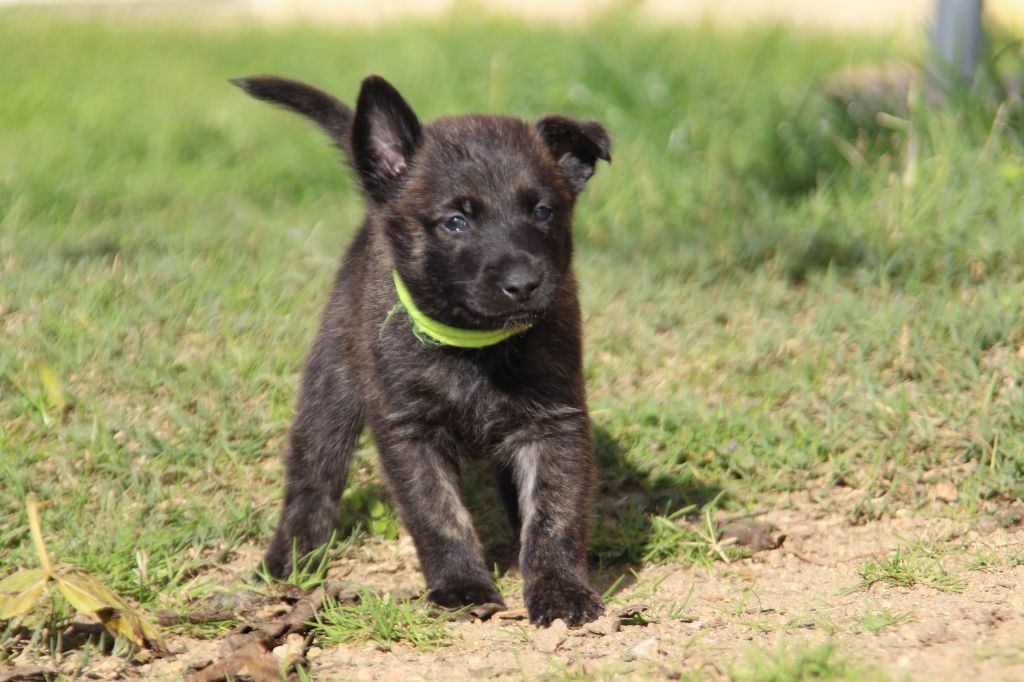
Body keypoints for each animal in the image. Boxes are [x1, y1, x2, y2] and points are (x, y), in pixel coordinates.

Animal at [232, 73, 606, 622]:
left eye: (542, 211)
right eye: (456, 221)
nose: (523, 284)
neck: (474, 348)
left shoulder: (554, 421)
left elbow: (553, 514)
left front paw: (561, 590)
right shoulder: (408, 431)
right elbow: (439, 515)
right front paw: (463, 586)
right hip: (331, 387)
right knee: (313, 475)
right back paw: (291, 559)